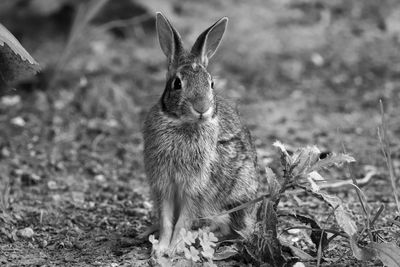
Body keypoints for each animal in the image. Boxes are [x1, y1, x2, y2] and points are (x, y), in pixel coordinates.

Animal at [144, 13, 260, 258]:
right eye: (177, 83)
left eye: (211, 83)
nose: (202, 107)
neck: (183, 123)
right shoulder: (163, 185)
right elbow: (166, 219)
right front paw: (160, 249)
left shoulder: (195, 188)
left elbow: (183, 221)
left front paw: (174, 248)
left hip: (236, 199)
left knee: (229, 229)